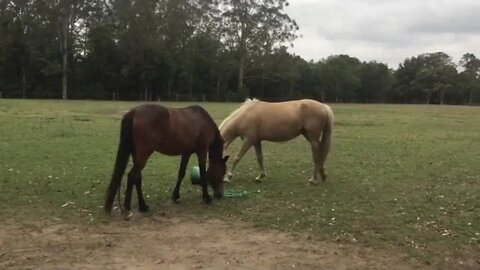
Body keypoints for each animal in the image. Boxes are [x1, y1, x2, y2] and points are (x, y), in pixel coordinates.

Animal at [103, 103, 231, 219]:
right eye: (222, 172)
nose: (220, 194)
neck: (203, 121)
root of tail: (134, 111)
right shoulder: (202, 151)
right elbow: (203, 173)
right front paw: (206, 198)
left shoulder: (186, 153)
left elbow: (181, 173)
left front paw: (176, 196)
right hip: (144, 154)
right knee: (132, 176)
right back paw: (127, 210)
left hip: (137, 155)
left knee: (137, 178)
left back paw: (143, 206)